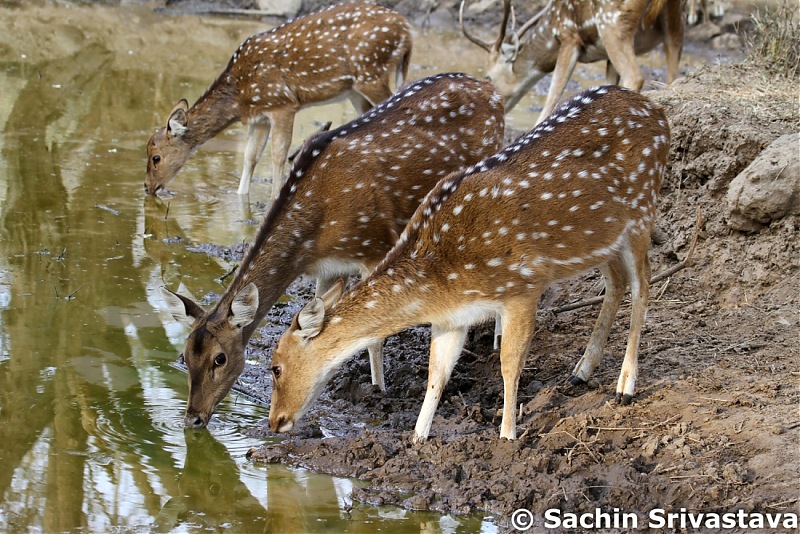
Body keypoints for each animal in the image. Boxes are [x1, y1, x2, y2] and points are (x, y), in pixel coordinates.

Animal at [145, 2, 412, 199]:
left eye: (156, 157)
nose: (147, 188)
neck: (239, 96)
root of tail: (407, 30)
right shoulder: (259, 117)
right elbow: (250, 156)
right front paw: (241, 198)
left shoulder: (282, 103)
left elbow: (278, 154)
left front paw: (274, 197)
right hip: (355, 90)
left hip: (372, 72)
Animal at [159, 73, 504, 430]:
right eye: (185, 356)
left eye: (220, 358)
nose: (192, 419)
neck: (316, 233)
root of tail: (490, 88)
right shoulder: (328, 268)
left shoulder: (373, 246)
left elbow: (374, 334)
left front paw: (378, 390)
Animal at [268, 85, 668, 444]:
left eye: (276, 367)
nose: (275, 421)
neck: (441, 278)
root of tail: (658, 111)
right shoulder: (452, 317)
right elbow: (437, 373)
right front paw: (417, 437)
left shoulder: (524, 285)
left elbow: (509, 363)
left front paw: (507, 435)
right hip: (604, 240)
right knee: (617, 282)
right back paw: (581, 372)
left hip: (642, 212)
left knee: (643, 285)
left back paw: (625, 386)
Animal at [462, 0, 680, 122]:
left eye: (488, 77)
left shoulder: (569, 37)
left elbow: (552, 96)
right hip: (674, 18)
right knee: (672, 72)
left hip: (612, 22)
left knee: (635, 75)